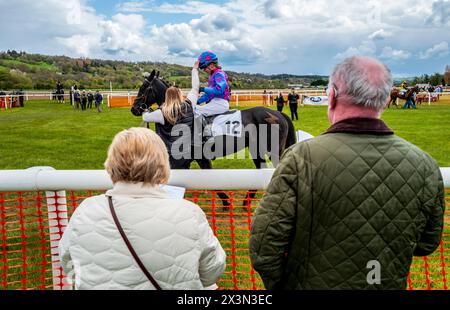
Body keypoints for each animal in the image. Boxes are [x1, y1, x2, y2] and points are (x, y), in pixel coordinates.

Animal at [131, 69, 298, 207]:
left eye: (144, 87)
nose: (134, 109)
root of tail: (278, 114)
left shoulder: (198, 157)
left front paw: (225, 202)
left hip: (273, 150)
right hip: (256, 149)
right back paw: (246, 202)